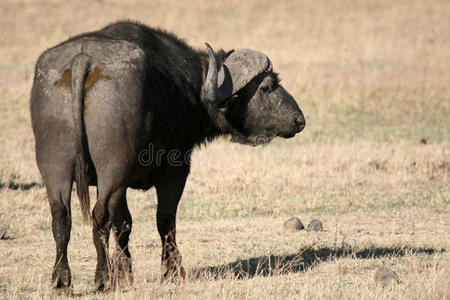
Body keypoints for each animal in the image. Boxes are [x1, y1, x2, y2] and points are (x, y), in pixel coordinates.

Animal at [29, 21, 306, 292]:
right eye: (267, 87)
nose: (299, 120)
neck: (189, 86)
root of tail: (82, 60)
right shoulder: (175, 171)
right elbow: (164, 220)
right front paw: (171, 271)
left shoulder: (122, 186)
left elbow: (124, 224)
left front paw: (126, 274)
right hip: (111, 171)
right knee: (100, 215)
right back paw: (103, 277)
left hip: (55, 168)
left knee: (61, 217)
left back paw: (62, 281)